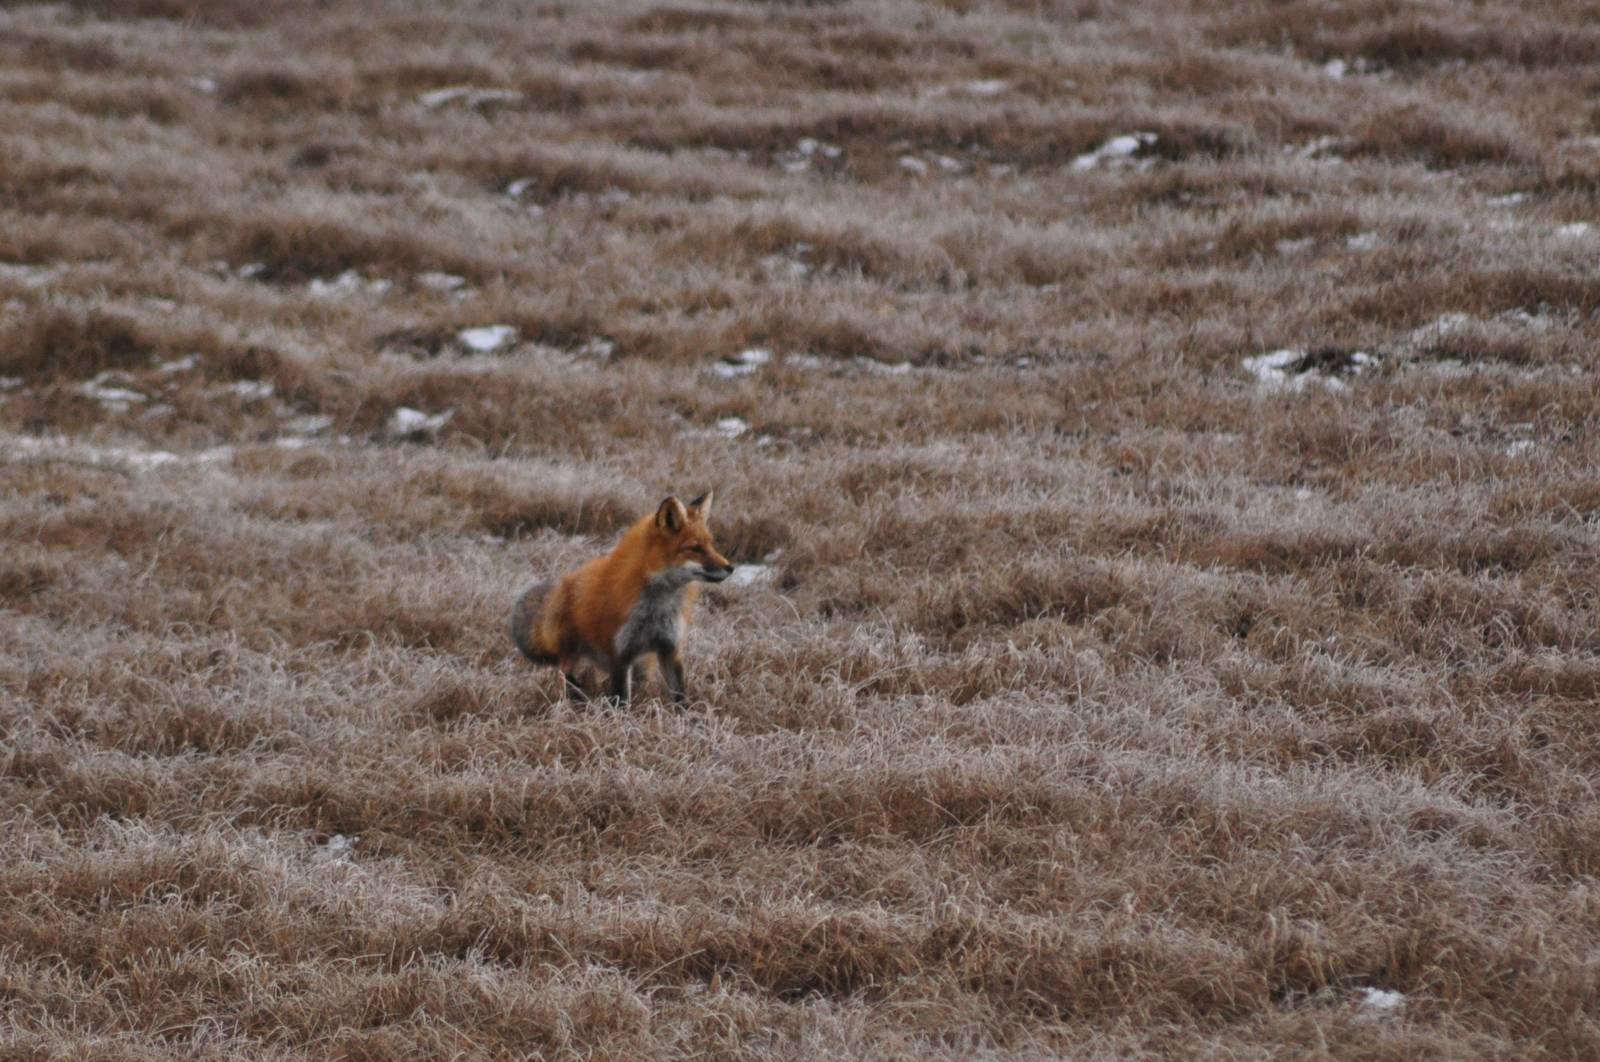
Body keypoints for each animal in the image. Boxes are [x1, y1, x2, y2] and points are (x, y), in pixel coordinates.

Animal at [509, 491, 735, 706]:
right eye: (695, 548)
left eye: (711, 545)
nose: (730, 567)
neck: (656, 606)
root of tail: (560, 585)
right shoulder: (619, 654)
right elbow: (621, 700)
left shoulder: (669, 648)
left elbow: (680, 696)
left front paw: (686, 717)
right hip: (572, 650)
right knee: (567, 673)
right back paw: (578, 699)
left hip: (641, 665)